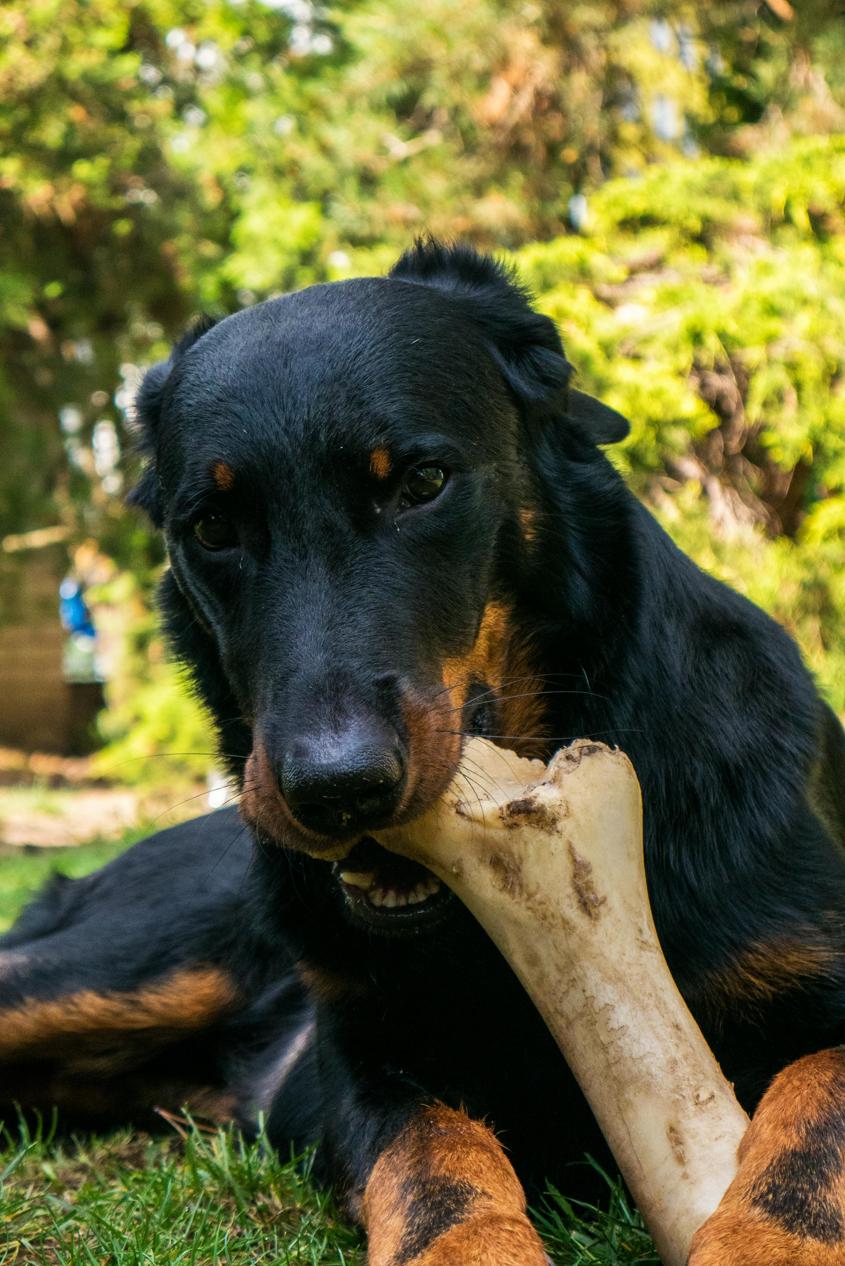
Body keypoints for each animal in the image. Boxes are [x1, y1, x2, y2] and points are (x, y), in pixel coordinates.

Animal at [1, 239, 845, 1266]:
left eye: (421, 483)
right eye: (212, 528)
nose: (335, 791)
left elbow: (810, 1127)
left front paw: (763, 1241)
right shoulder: (372, 1061)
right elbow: (435, 1161)